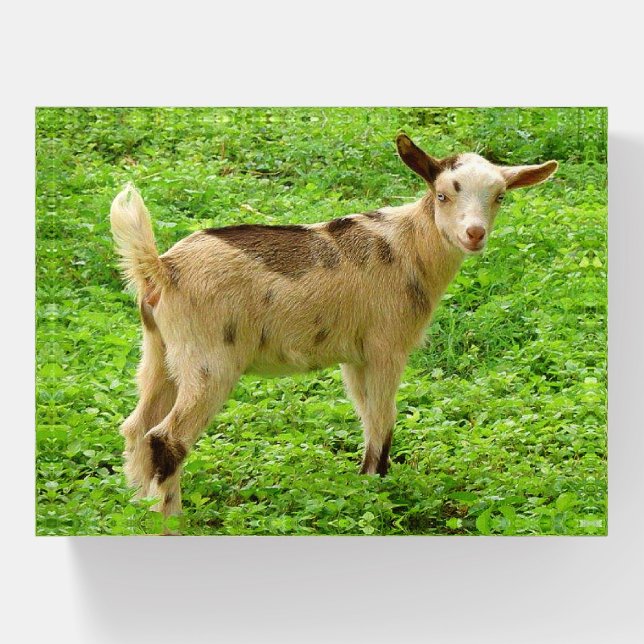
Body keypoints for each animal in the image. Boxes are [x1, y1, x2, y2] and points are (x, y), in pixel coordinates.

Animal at [110, 133, 558, 517]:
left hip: (159, 353)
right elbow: (384, 419)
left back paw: (139, 506)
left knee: (137, 427)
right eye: (443, 194)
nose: (474, 234)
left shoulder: (354, 357)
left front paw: (364, 485)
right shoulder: (386, 347)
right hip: (209, 360)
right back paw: (171, 518)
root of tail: (161, 269)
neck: (408, 246)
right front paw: (379, 489)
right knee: (167, 438)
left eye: (500, 196)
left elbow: (367, 417)